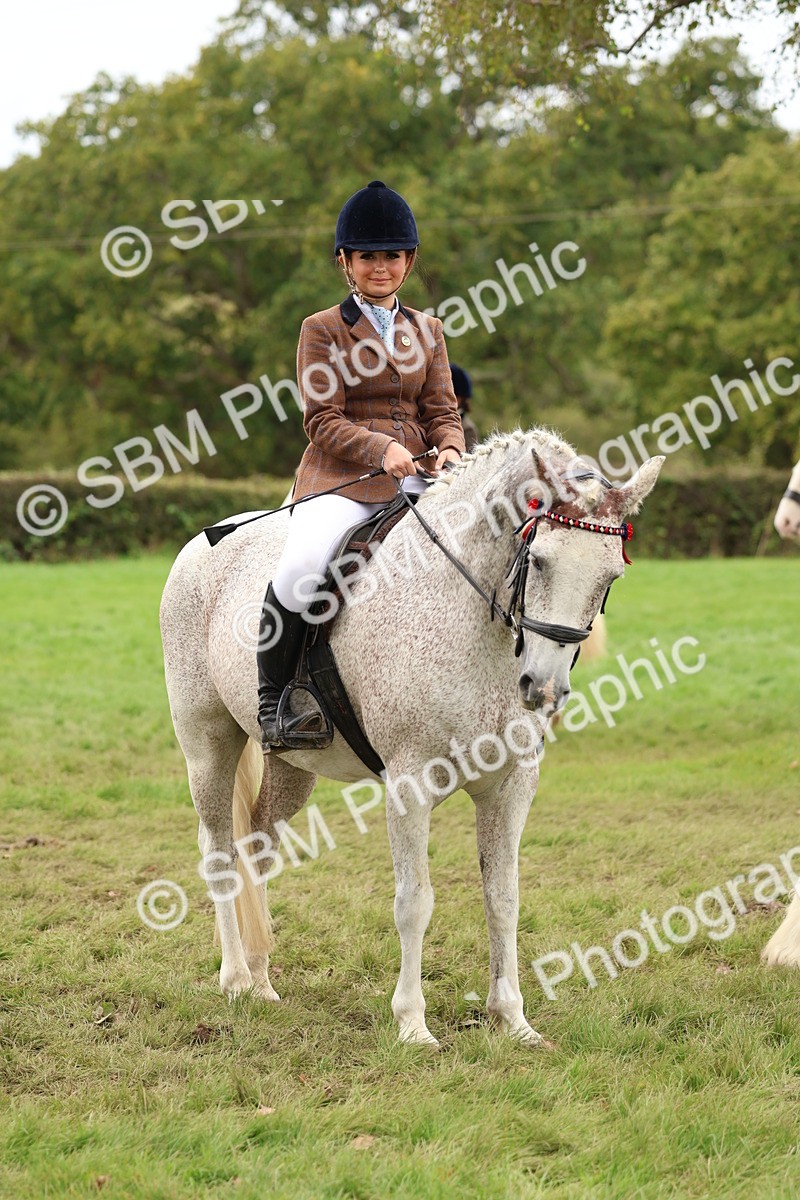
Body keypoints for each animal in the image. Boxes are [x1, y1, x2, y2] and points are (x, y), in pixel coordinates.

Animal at [160, 428, 664, 1047]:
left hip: (292, 766)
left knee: (257, 847)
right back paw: (234, 979)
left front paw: (513, 1020)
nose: (543, 689)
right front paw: (412, 1024)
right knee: (219, 853)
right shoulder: (409, 784)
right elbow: (414, 902)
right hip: (208, 744)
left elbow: (504, 898)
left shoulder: (512, 785)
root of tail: (200, 546)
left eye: (610, 577)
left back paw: (261, 982)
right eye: (540, 560)